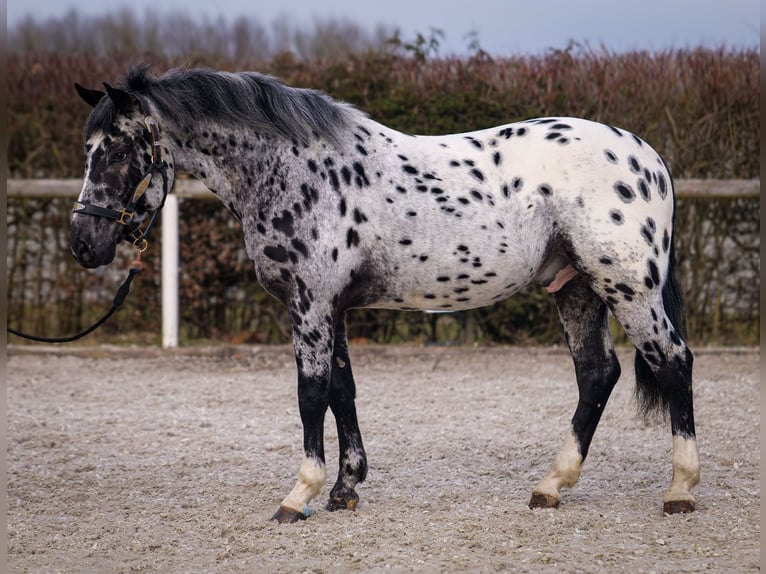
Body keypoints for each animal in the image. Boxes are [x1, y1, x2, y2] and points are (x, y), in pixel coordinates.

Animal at [72, 66, 704, 520]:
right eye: (88, 150)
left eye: (118, 151)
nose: (84, 243)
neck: (294, 168)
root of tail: (649, 158)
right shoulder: (333, 308)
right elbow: (342, 393)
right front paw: (344, 489)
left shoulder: (310, 304)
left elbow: (310, 394)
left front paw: (299, 495)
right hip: (576, 288)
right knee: (597, 374)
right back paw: (551, 485)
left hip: (627, 286)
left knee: (672, 362)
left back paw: (680, 490)